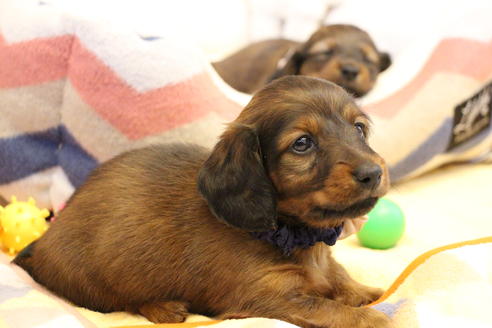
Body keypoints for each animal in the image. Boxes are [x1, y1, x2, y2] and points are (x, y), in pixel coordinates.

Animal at [13, 75, 394, 326]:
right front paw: (377, 317)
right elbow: (339, 312)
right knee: (122, 301)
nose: (373, 173)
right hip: (97, 284)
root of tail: (42, 241)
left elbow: (339, 276)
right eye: (302, 144)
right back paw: (164, 307)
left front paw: (365, 290)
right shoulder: (269, 298)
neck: (293, 236)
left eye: (358, 129)